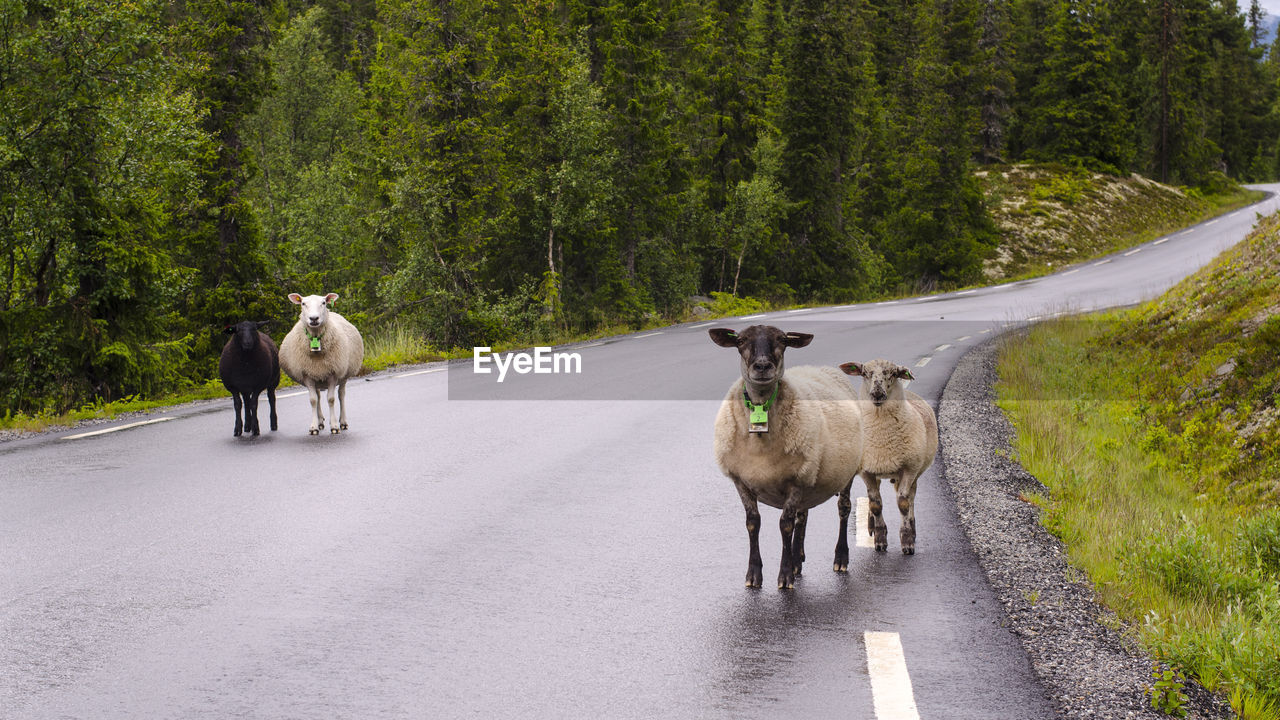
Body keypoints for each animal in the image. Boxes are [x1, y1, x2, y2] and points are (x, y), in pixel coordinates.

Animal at [277, 289, 363, 430]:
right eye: (303, 303)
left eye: (323, 303)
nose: (314, 318)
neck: (316, 338)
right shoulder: (307, 374)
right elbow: (313, 400)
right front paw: (314, 427)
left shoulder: (333, 373)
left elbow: (331, 399)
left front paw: (334, 426)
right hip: (315, 376)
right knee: (317, 396)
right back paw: (320, 421)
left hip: (344, 374)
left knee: (341, 395)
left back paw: (343, 422)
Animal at [706, 325, 865, 589]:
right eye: (740, 340)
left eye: (782, 340)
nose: (762, 366)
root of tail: (824, 368)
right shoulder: (742, 481)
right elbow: (753, 522)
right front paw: (754, 575)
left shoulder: (796, 480)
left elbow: (785, 525)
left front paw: (785, 575)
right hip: (811, 475)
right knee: (803, 515)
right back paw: (798, 559)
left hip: (844, 472)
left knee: (843, 509)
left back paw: (840, 558)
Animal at [839, 358, 942, 556]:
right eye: (865, 373)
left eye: (894, 373)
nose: (877, 394)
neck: (882, 436)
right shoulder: (867, 470)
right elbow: (875, 504)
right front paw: (880, 540)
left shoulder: (909, 468)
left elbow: (903, 503)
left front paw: (907, 541)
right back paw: (871, 525)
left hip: (914, 471)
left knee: (911, 497)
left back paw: (912, 528)